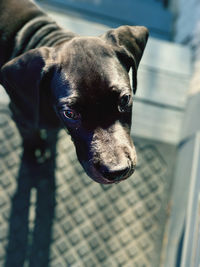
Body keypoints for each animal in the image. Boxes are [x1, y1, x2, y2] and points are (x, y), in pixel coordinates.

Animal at [0, 0, 148, 184]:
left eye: (125, 99)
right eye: (70, 113)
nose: (117, 171)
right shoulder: (21, 114)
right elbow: (29, 137)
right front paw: (34, 153)